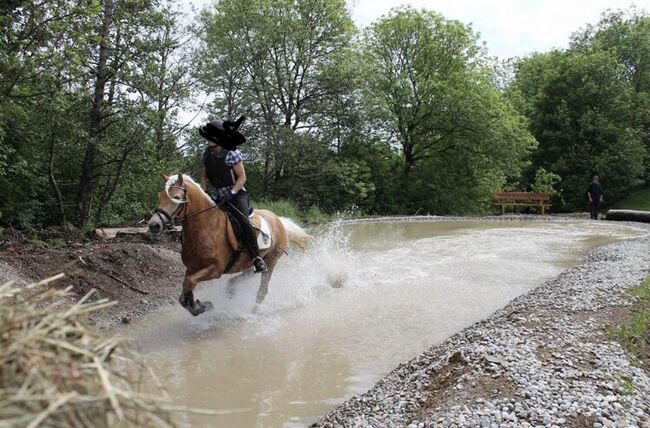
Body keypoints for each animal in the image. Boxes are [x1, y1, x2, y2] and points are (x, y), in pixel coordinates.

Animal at [146, 172, 312, 316]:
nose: (154, 225)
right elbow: (185, 290)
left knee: (262, 291)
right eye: (160, 196)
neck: (206, 226)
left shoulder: (215, 270)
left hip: (271, 261)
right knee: (238, 280)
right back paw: (232, 293)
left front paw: (199, 307)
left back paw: (252, 313)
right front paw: (199, 306)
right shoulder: (192, 268)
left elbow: (188, 283)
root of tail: (278, 220)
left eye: (177, 197)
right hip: (249, 263)